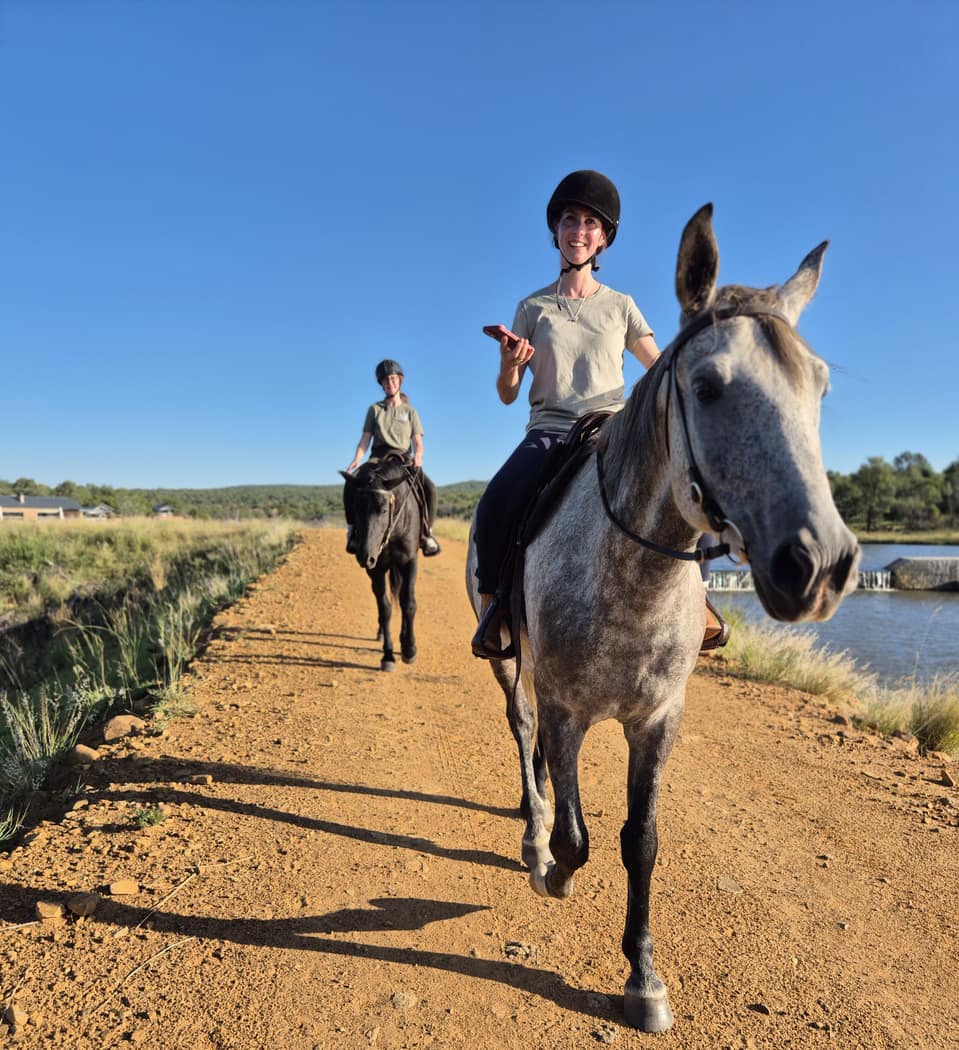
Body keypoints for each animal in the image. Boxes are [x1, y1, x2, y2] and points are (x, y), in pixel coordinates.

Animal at [341, 457, 420, 671]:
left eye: (383, 510)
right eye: (355, 508)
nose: (364, 556)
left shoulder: (410, 561)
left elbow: (408, 603)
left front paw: (409, 649)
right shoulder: (376, 569)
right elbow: (385, 608)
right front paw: (388, 655)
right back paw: (382, 634)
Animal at [466, 203, 861, 1032]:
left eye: (819, 387)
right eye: (707, 387)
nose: (820, 565)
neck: (633, 578)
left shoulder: (657, 719)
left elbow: (638, 841)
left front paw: (643, 979)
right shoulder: (566, 709)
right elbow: (577, 837)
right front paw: (552, 869)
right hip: (509, 662)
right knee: (522, 736)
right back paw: (531, 833)